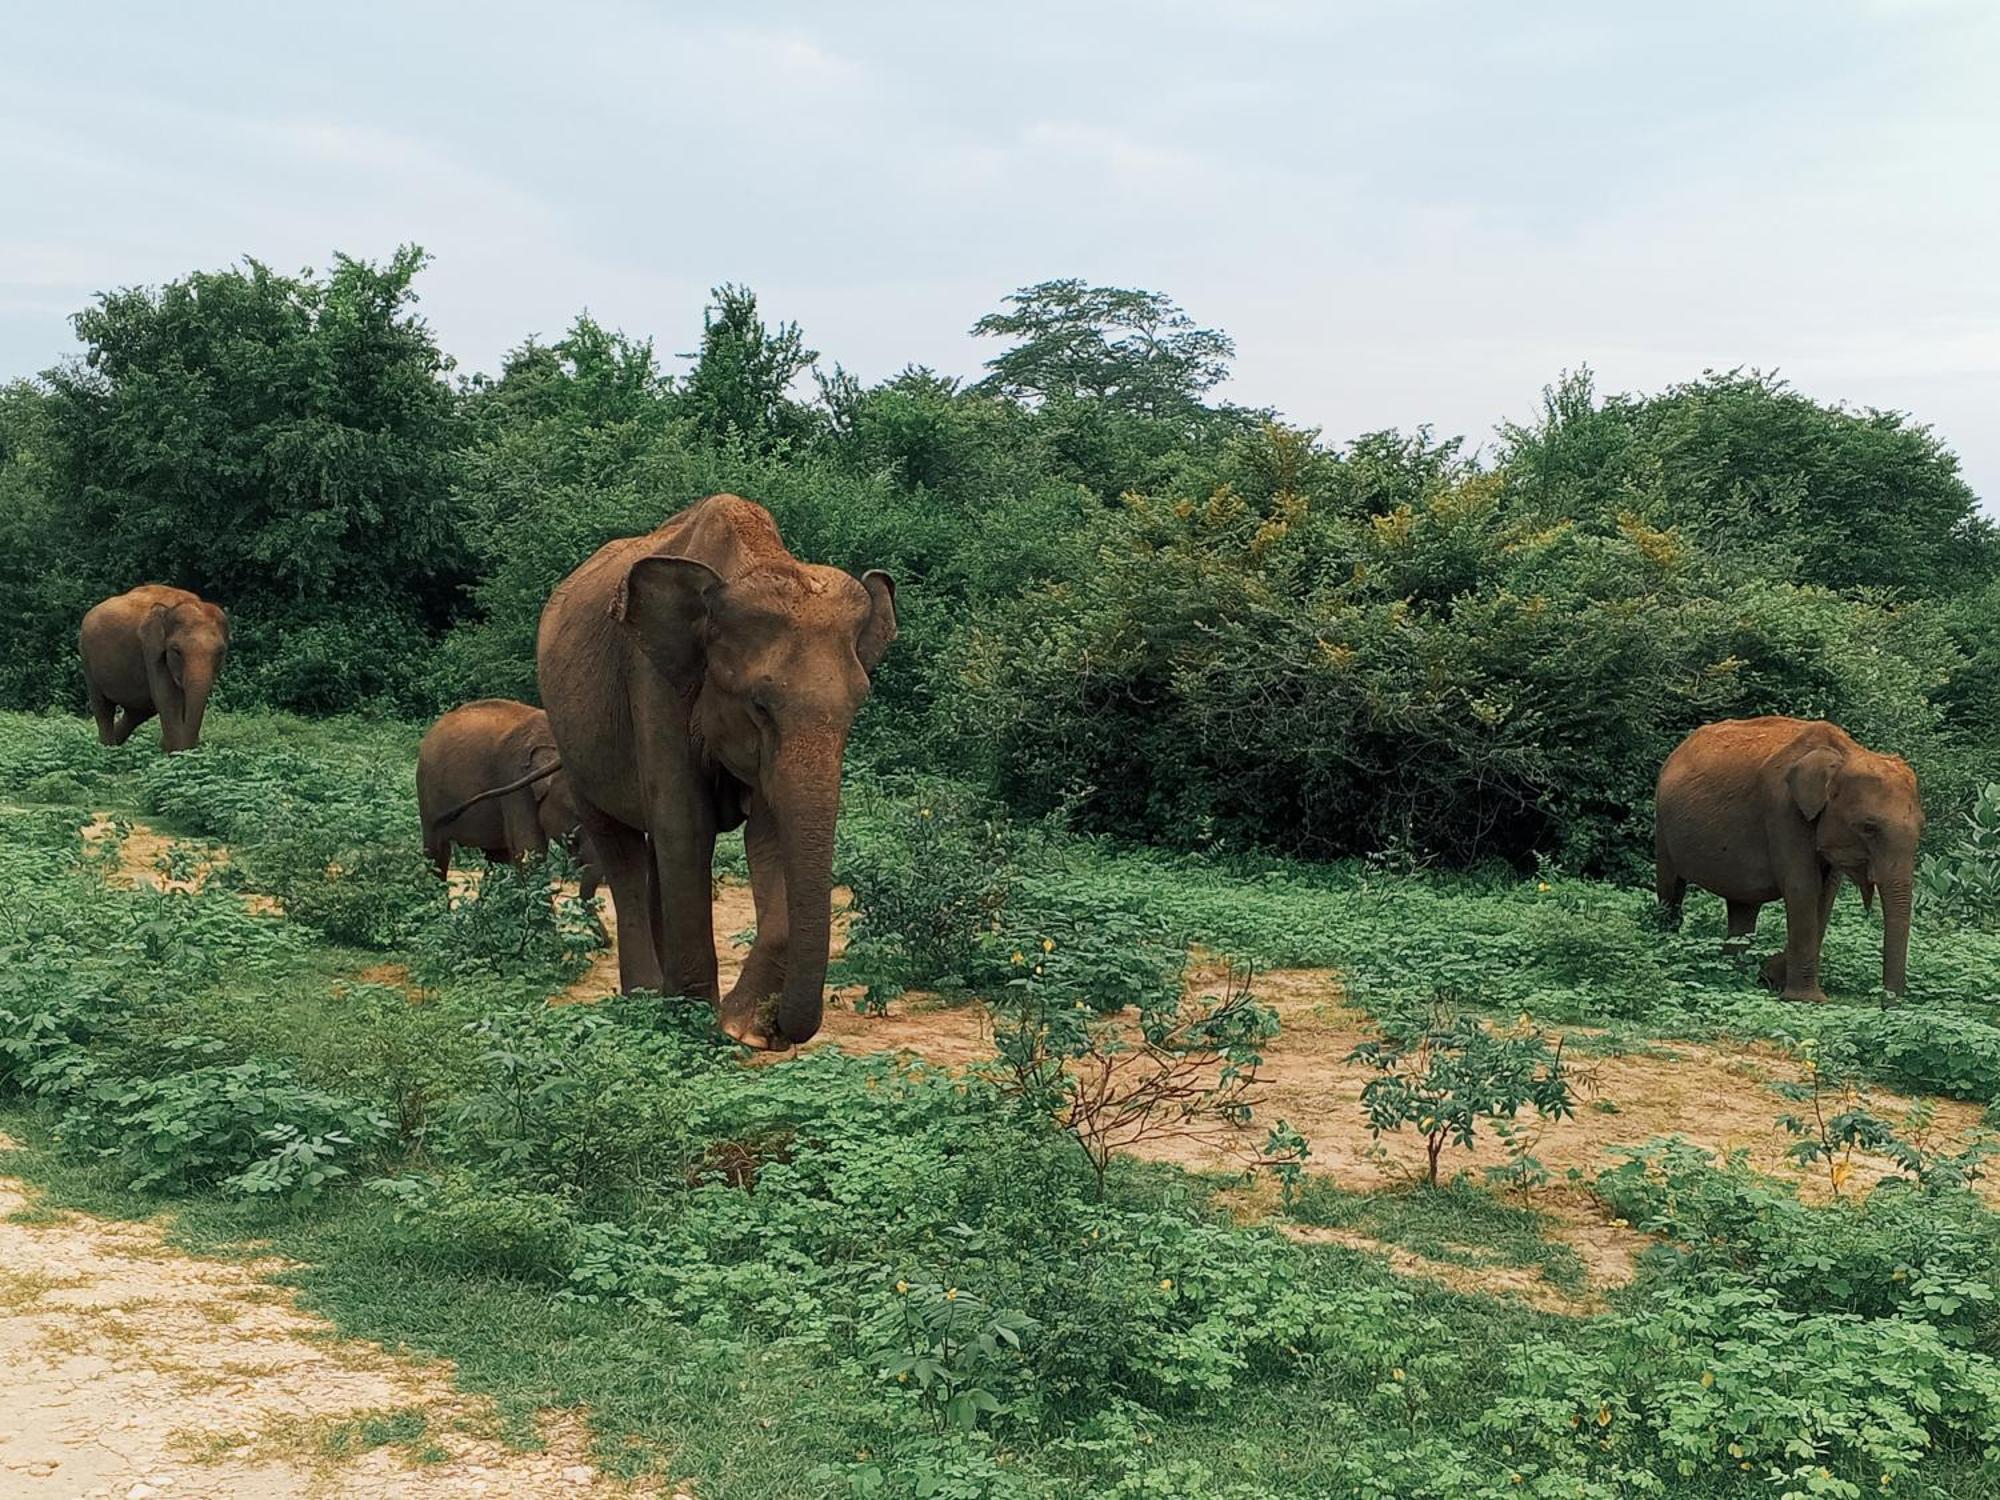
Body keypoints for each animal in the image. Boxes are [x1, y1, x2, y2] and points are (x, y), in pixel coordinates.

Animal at [79, 584, 229, 752]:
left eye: (220, 652)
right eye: (176, 651)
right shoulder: (151, 649)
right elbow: (166, 698)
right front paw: (178, 751)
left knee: (138, 712)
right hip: (86, 657)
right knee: (104, 708)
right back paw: (107, 748)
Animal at [406, 708, 592, 904]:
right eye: (578, 816)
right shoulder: (515, 779)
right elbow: (529, 850)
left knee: (495, 857)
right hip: (427, 793)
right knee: (437, 855)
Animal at [540, 494, 900, 1048]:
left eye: (857, 706)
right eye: (759, 706)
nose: (782, 1029)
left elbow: (767, 835)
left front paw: (742, 1029)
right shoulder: (654, 681)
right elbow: (686, 825)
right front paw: (697, 1023)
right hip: (572, 737)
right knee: (620, 847)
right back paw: (645, 996)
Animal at [1656, 720, 1920, 1004]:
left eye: (1921, 829)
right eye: (1868, 828)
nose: (1886, 1005)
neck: (1844, 752)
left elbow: (1825, 894)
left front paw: (1772, 976)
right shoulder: (1783, 809)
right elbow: (1803, 888)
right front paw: (1805, 999)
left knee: (1743, 905)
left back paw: (1733, 972)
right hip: (1662, 823)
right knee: (1671, 889)